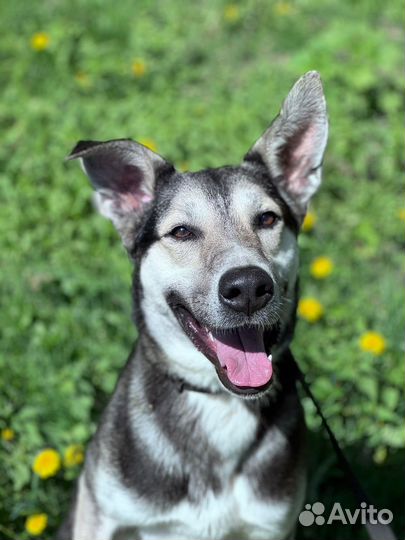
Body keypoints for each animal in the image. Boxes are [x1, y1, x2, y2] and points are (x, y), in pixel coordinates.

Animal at [57, 71, 328, 540]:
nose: (248, 287)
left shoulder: (271, 523)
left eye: (268, 219)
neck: (219, 401)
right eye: (181, 232)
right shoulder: (102, 514)